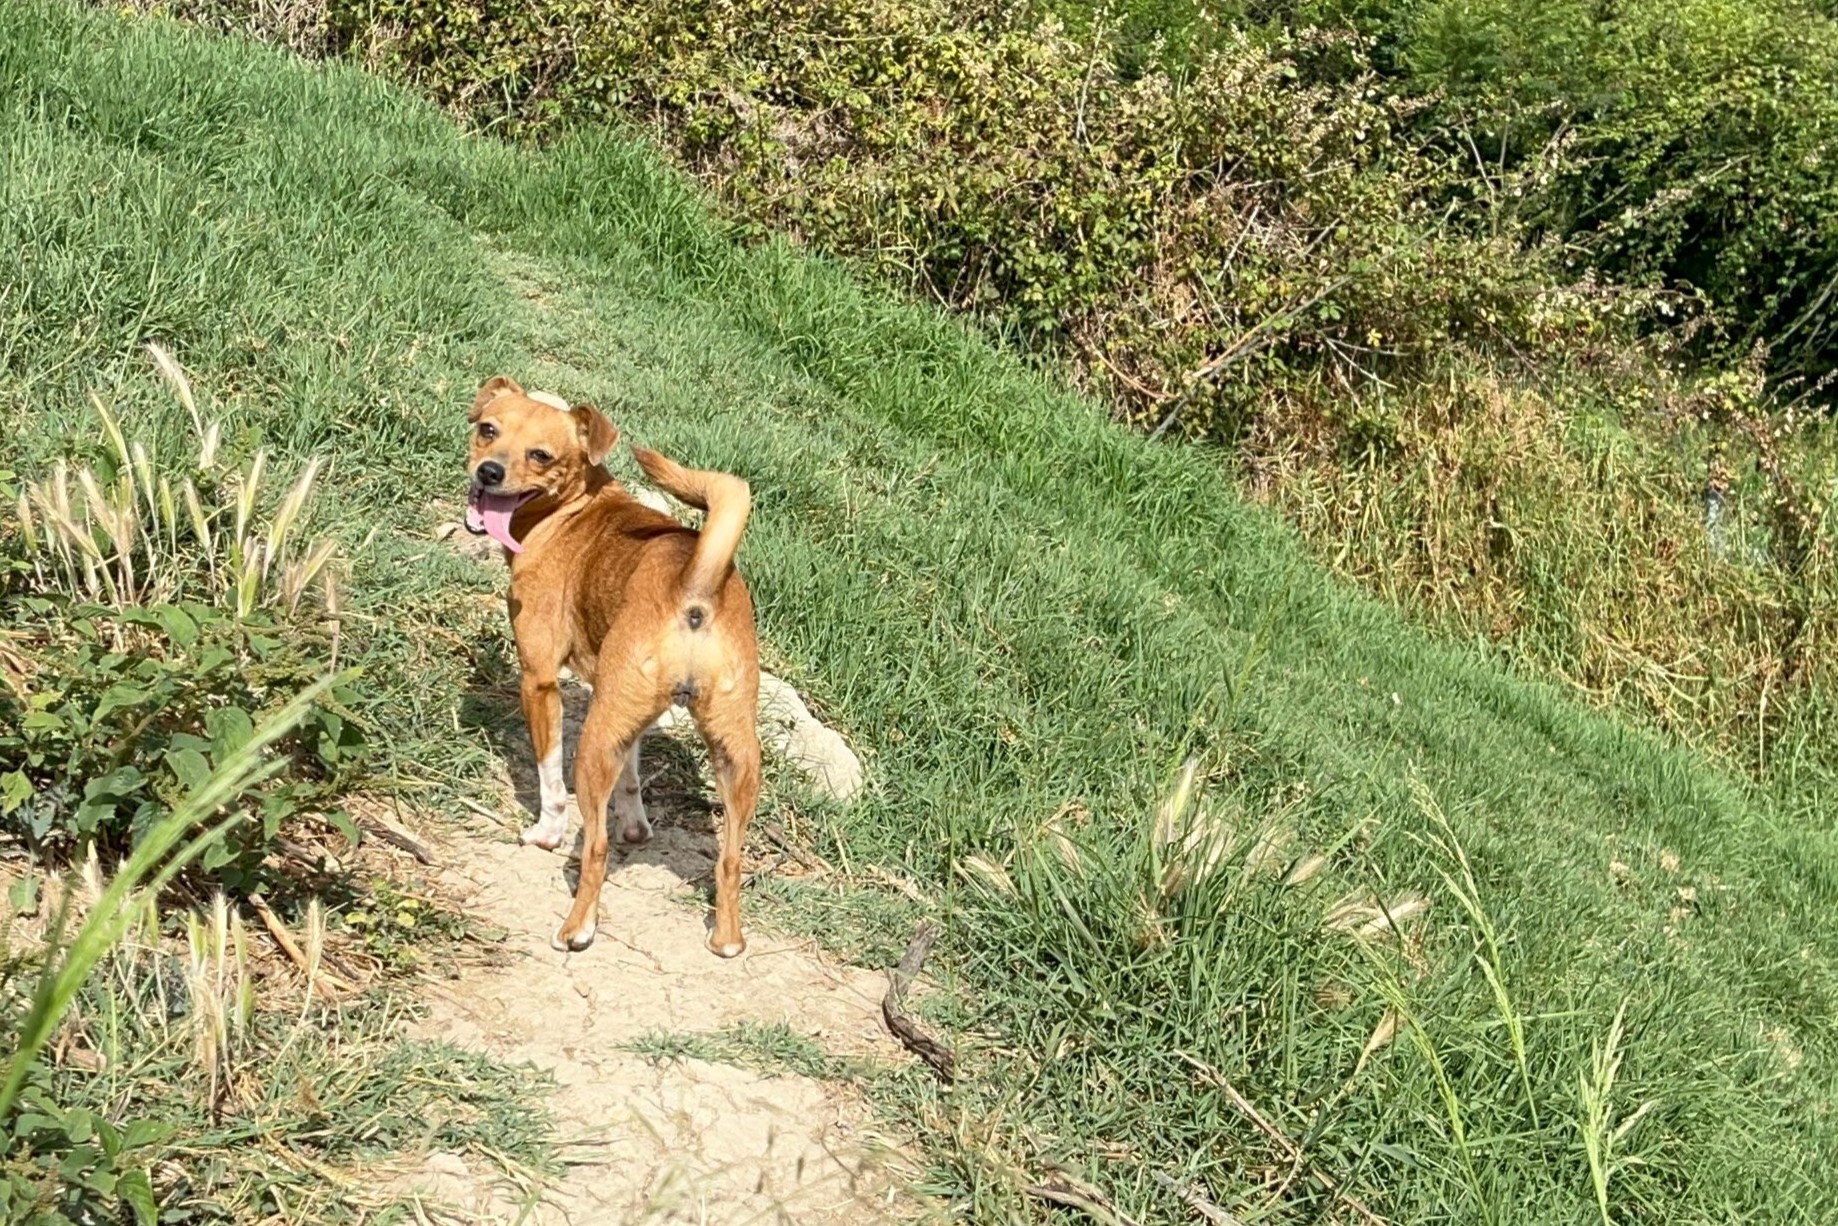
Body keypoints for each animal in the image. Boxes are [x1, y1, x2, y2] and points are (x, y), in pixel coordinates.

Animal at [463, 375, 761, 957]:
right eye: (488, 430)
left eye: (540, 456)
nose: (488, 471)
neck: (571, 510)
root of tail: (697, 586)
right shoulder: (628, 710)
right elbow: (632, 776)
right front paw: (636, 826)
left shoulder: (539, 681)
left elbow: (549, 774)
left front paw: (546, 832)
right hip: (735, 755)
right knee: (731, 858)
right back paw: (727, 938)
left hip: (594, 744)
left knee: (595, 848)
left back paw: (576, 928)